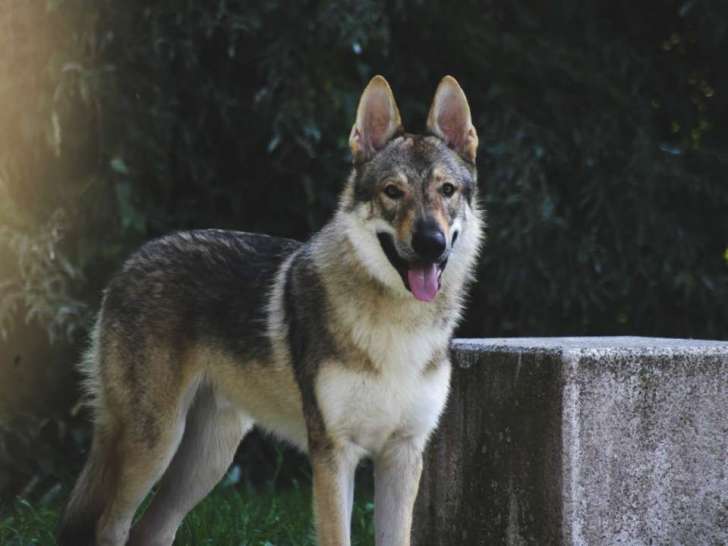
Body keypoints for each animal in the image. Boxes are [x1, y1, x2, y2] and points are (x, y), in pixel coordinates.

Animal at [57, 75, 483, 546]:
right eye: (393, 192)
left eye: (446, 191)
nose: (431, 242)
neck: (397, 326)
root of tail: (132, 260)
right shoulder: (333, 454)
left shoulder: (403, 455)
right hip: (155, 444)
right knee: (110, 526)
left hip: (208, 458)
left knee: (150, 530)